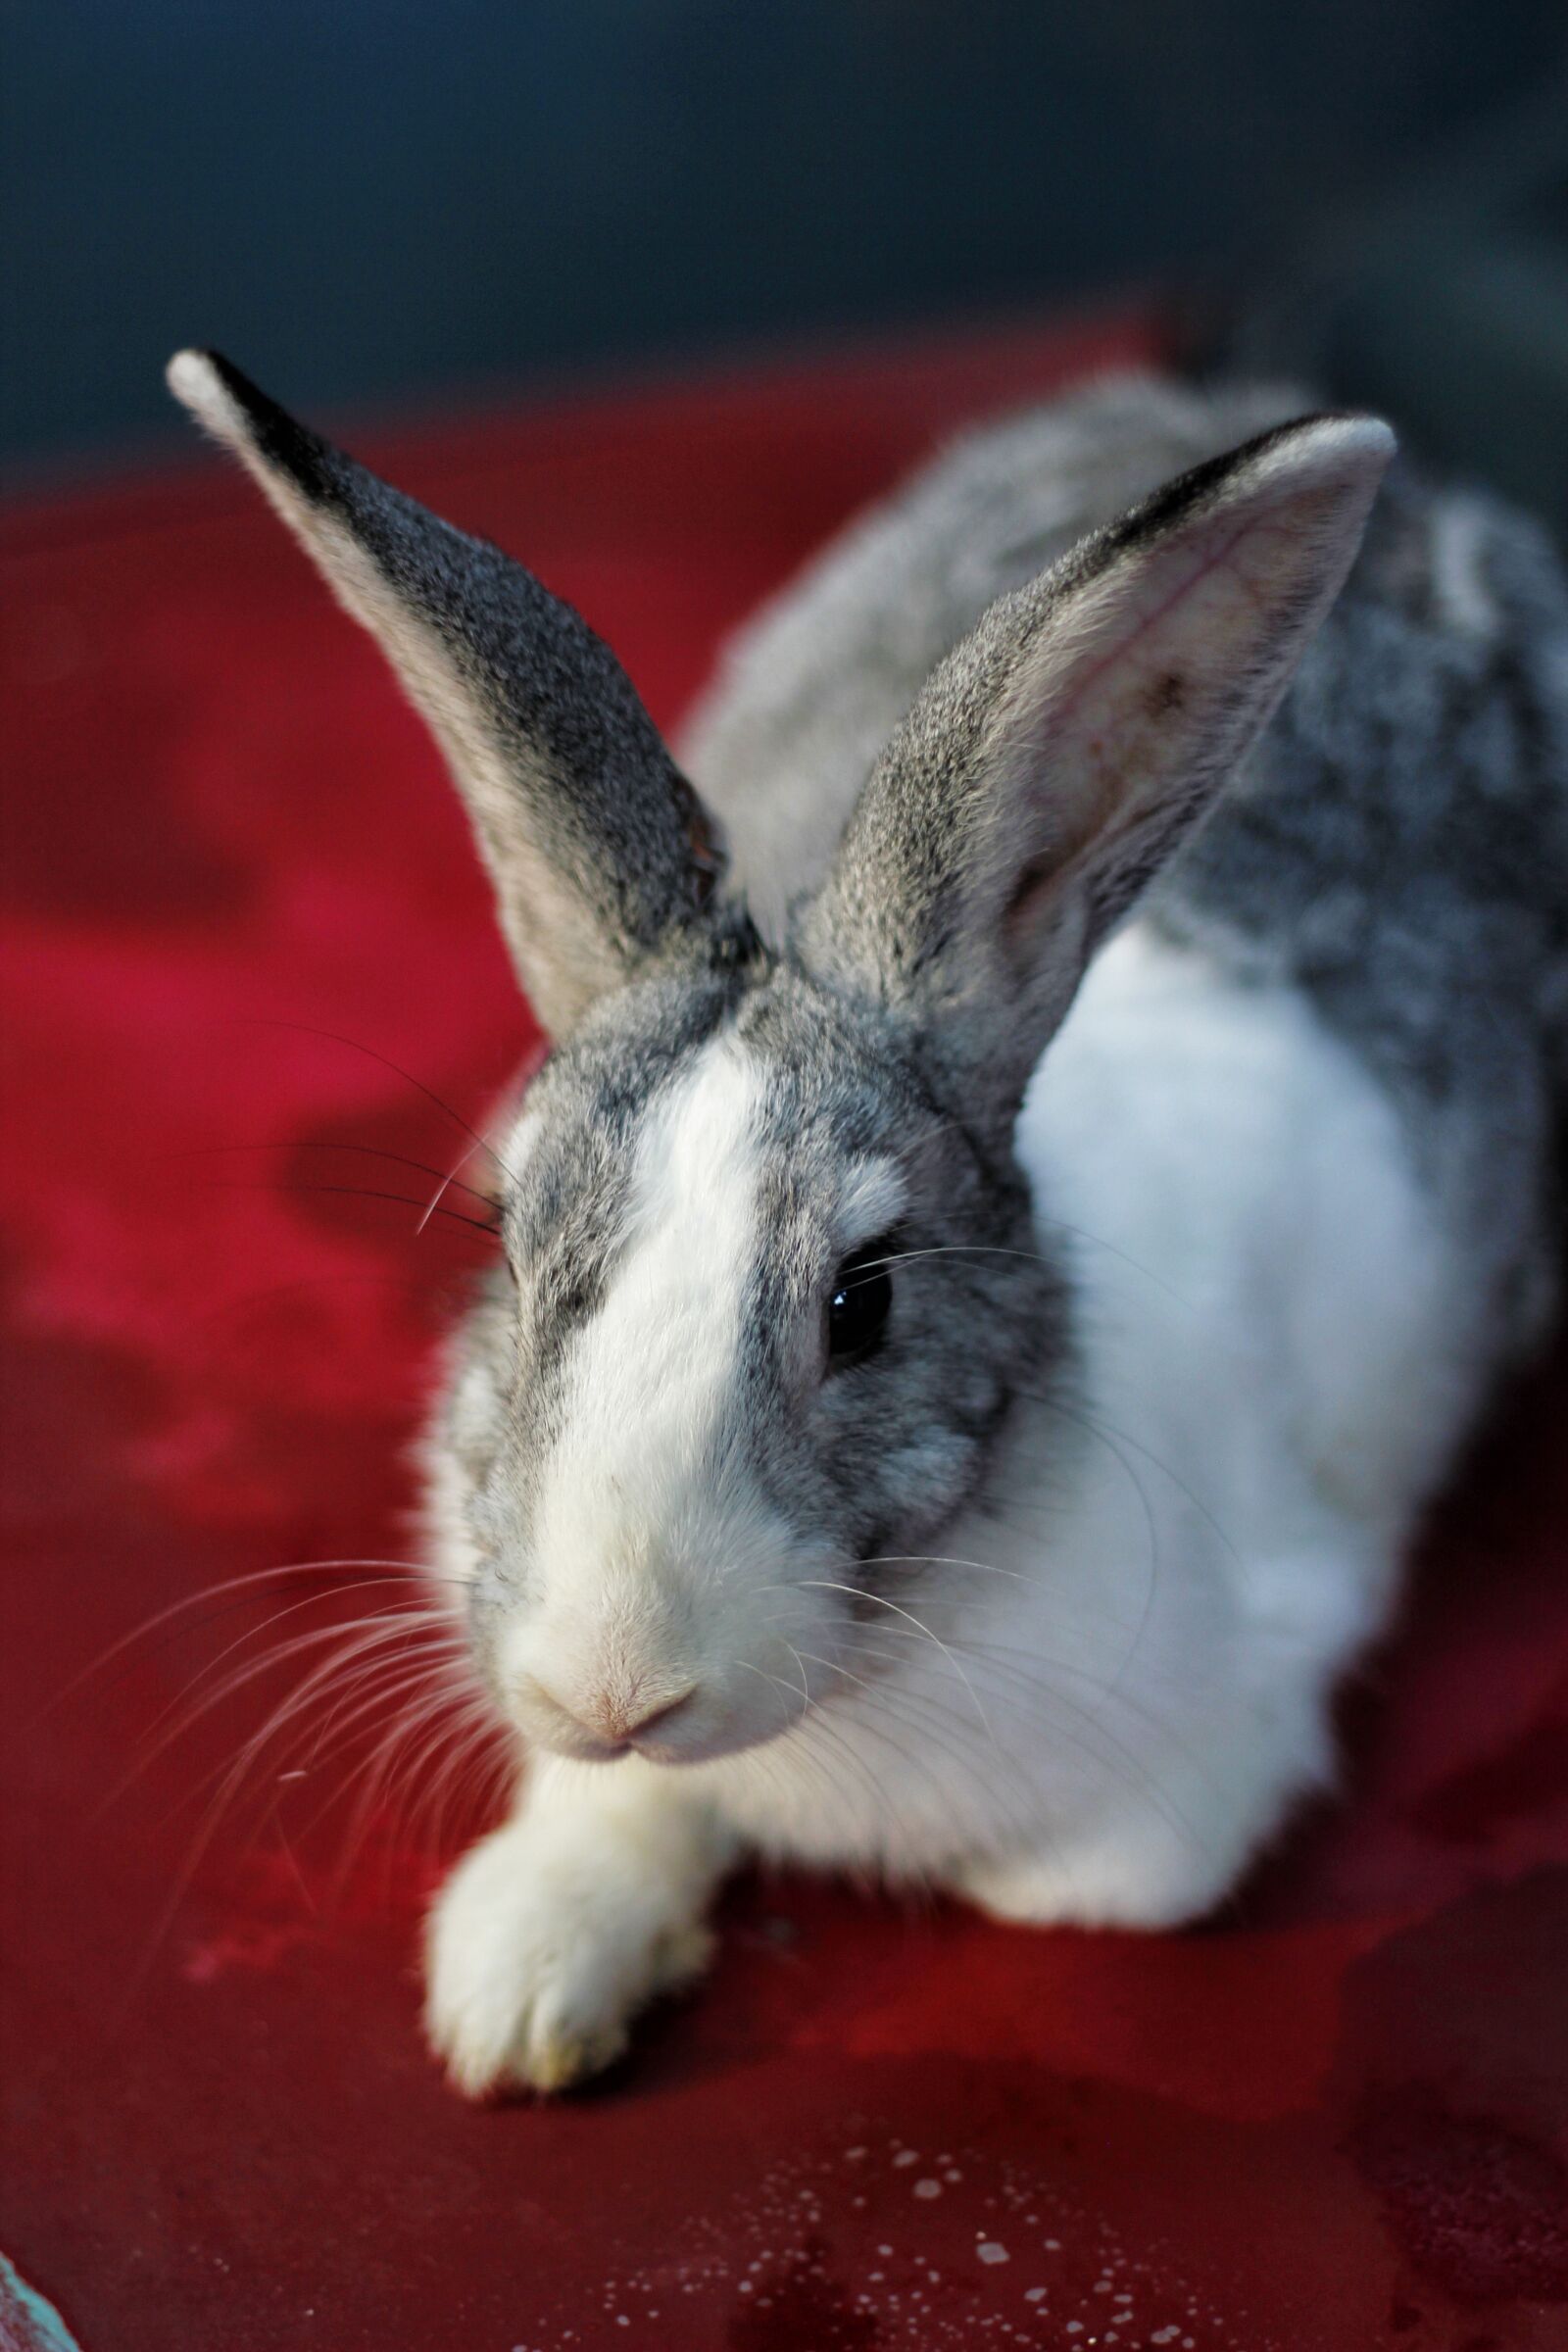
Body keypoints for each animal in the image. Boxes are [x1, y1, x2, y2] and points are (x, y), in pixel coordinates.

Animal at [167, 351, 1568, 2098]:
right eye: (510, 1245)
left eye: (866, 1300)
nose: (609, 1685)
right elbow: (613, 1816)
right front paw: (521, 1997)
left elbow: (1086, 1887)